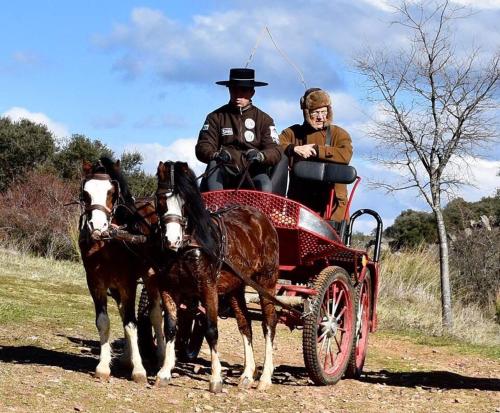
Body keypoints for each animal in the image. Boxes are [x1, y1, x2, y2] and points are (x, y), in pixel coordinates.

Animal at [78, 156, 164, 382]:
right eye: (85, 192)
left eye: (111, 192)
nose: (97, 227)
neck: (108, 242)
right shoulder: (96, 283)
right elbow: (104, 322)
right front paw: (103, 367)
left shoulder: (128, 283)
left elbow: (132, 324)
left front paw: (139, 370)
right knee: (124, 311)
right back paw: (127, 358)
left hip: (152, 277)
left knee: (155, 315)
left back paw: (160, 357)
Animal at [154, 159, 280, 392]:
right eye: (160, 199)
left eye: (185, 202)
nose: (172, 240)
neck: (188, 246)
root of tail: (262, 220)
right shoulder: (168, 287)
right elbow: (171, 328)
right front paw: (165, 372)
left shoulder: (208, 288)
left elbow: (211, 329)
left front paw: (216, 378)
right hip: (236, 287)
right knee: (245, 324)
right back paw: (247, 374)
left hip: (266, 281)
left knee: (269, 324)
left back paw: (265, 377)